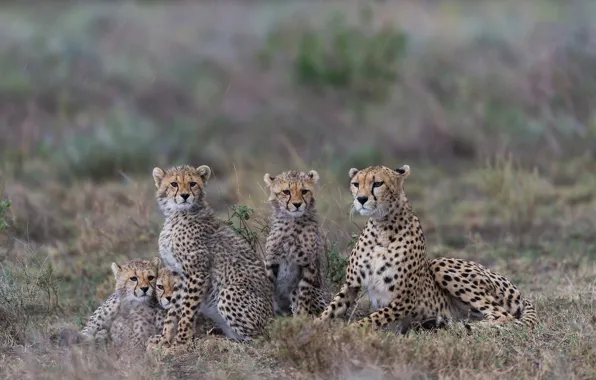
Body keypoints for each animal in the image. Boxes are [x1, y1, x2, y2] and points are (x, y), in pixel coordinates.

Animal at [148, 165, 274, 348]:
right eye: (174, 184)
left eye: (192, 183)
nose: (185, 195)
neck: (177, 215)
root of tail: (275, 319)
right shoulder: (177, 273)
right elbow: (173, 311)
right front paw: (164, 338)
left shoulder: (197, 272)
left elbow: (187, 310)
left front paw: (181, 341)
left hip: (229, 292)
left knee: (262, 338)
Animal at [264, 171, 332, 316]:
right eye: (286, 191)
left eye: (304, 191)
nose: (297, 204)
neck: (292, 222)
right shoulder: (271, 261)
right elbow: (267, 289)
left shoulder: (309, 264)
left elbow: (303, 296)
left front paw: (301, 318)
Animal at [316, 165, 540, 332]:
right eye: (356, 184)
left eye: (377, 183)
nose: (361, 199)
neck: (382, 226)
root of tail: (520, 294)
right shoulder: (351, 285)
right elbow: (330, 309)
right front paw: (313, 326)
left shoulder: (404, 300)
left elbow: (371, 319)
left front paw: (347, 331)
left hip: (441, 264)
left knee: (504, 317)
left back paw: (462, 326)